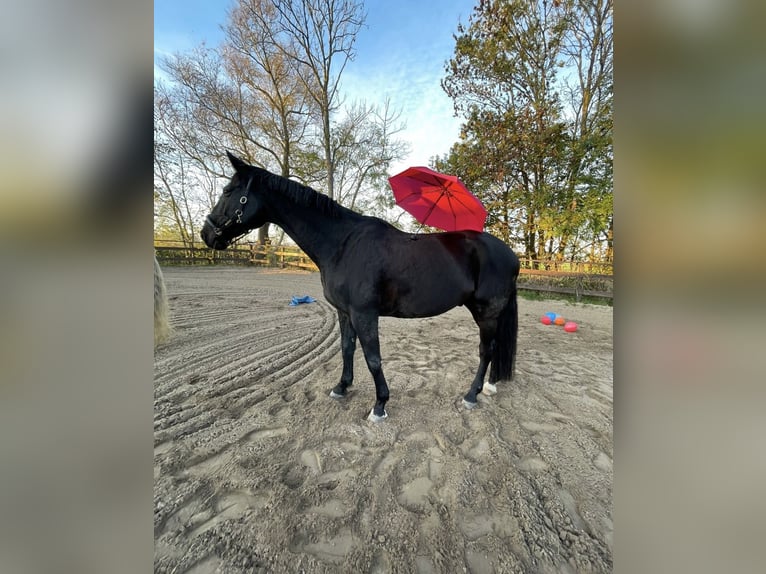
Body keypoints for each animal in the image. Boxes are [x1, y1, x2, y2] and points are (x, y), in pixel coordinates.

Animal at [201, 152, 520, 422]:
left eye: (228, 191)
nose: (206, 234)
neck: (343, 243)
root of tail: (511, 255)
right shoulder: (345, 312)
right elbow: (347, 349)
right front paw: (341, 387)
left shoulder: (364, 314)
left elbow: (373, 358)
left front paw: (380, 405)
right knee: (493, 349)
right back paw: (490, 386)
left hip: (486, 313)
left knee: (486, 350)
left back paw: (471, 394)